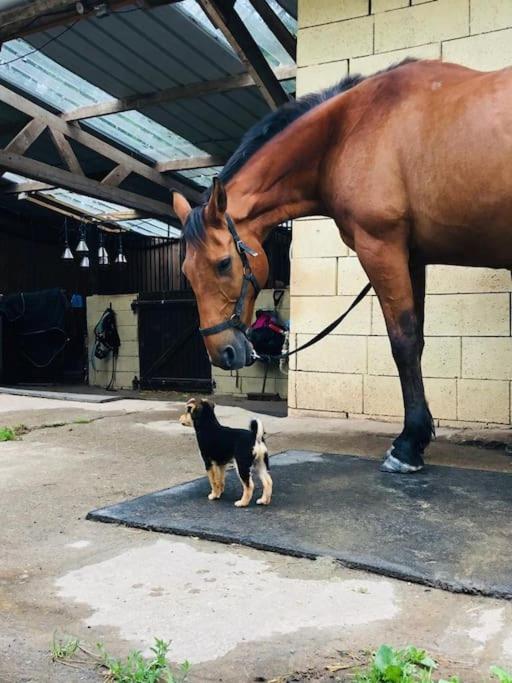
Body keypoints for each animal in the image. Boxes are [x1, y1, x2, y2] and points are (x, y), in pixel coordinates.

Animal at [173, 58, 512, 472]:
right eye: (187, 273)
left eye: (223, 264)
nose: (222, 353)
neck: (349, 129)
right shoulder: (411, 256)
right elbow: (417, 339)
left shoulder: (381, 246)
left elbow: (403, 341)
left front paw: (407, 446)